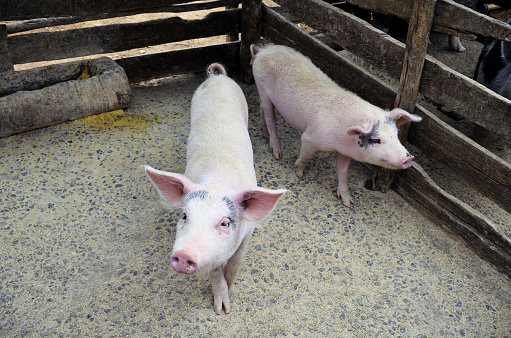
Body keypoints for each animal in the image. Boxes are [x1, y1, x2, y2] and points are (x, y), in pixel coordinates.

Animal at [145, 63, 288, 314]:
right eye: (184, 215)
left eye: (224, 223)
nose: (184, 254)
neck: (216, 183)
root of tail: (217, 77)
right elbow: (213, 269)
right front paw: (220, 307)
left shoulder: (249, 230)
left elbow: (237, 261)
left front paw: (227, 305)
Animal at [250, 44, 422, 209]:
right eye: (375, 140)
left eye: (396, 134)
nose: (410, 158)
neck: (341, 138)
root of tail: (263, 49)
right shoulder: (310, 138)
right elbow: (306, 156)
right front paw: (300, 173)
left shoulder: (345, 152)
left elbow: (343, 172)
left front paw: (349, 203)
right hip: (262, 86)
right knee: (271, 118)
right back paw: (277, 154)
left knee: (262, 108)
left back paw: (264, 132)